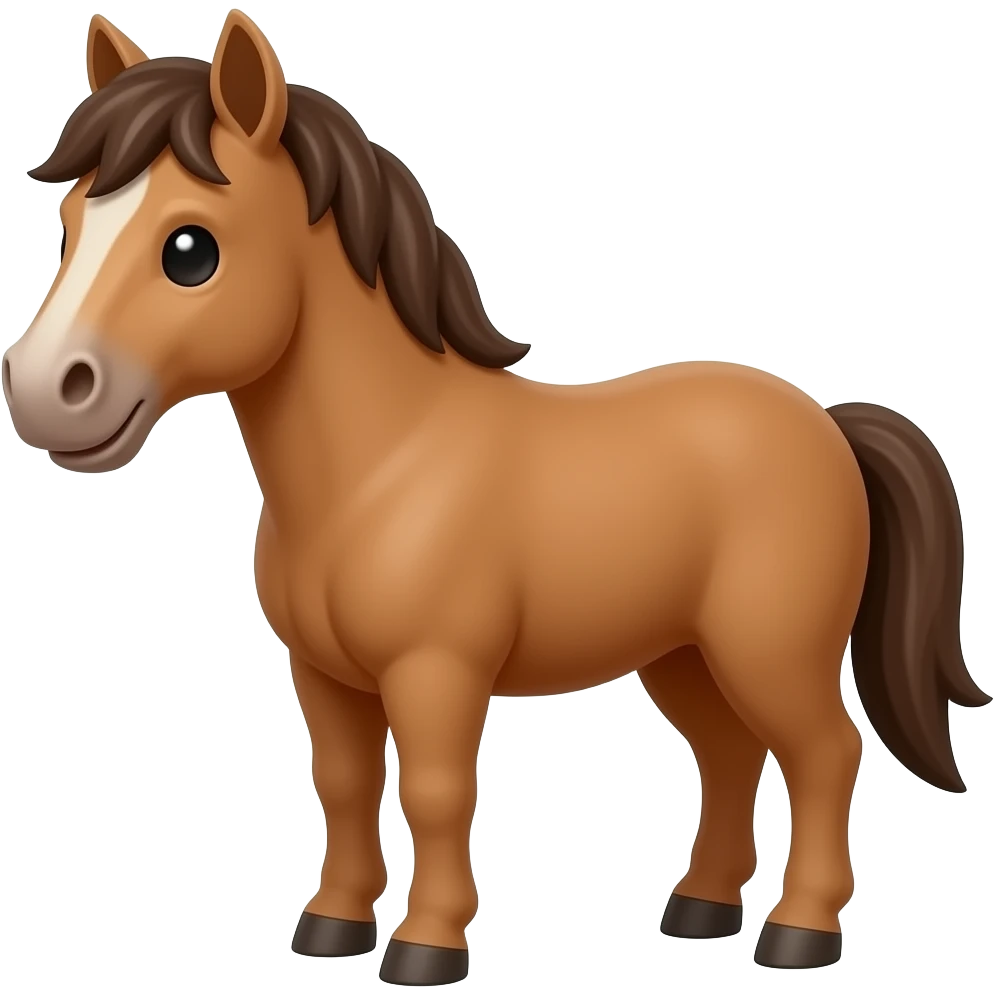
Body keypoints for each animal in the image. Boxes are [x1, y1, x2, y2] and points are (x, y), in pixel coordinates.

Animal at [3, 10, 982, 985]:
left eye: (190, 249)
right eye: (68, 226)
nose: (46, 388)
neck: (386, 467)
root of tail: (826, 421)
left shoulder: (435, 669)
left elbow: (435, 792)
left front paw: (426, 945)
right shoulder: (322, 674)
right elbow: (344, 784)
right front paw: (330, 925)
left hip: (770, 652)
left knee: (825, 754)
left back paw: (800, 931)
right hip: (685, 656)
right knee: (731, 755)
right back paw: (700, 911)